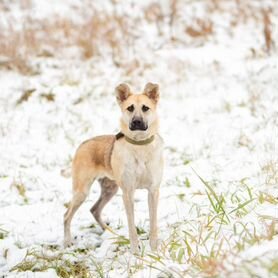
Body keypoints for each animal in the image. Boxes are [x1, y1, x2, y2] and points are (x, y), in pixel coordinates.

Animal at [64, 82, 164, 252]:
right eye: (130, 108)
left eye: (145, 108)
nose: (137, 122)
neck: (139, 145)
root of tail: (83, 144)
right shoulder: (128, 193)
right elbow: (131, 225)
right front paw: (134, 250)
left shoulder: (153, 191)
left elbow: (154, 223)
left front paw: (154, 249)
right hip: (81, 191)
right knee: (66, 215)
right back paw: (67, 242)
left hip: (110, 189)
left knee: (94, 209)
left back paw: (110, 233)